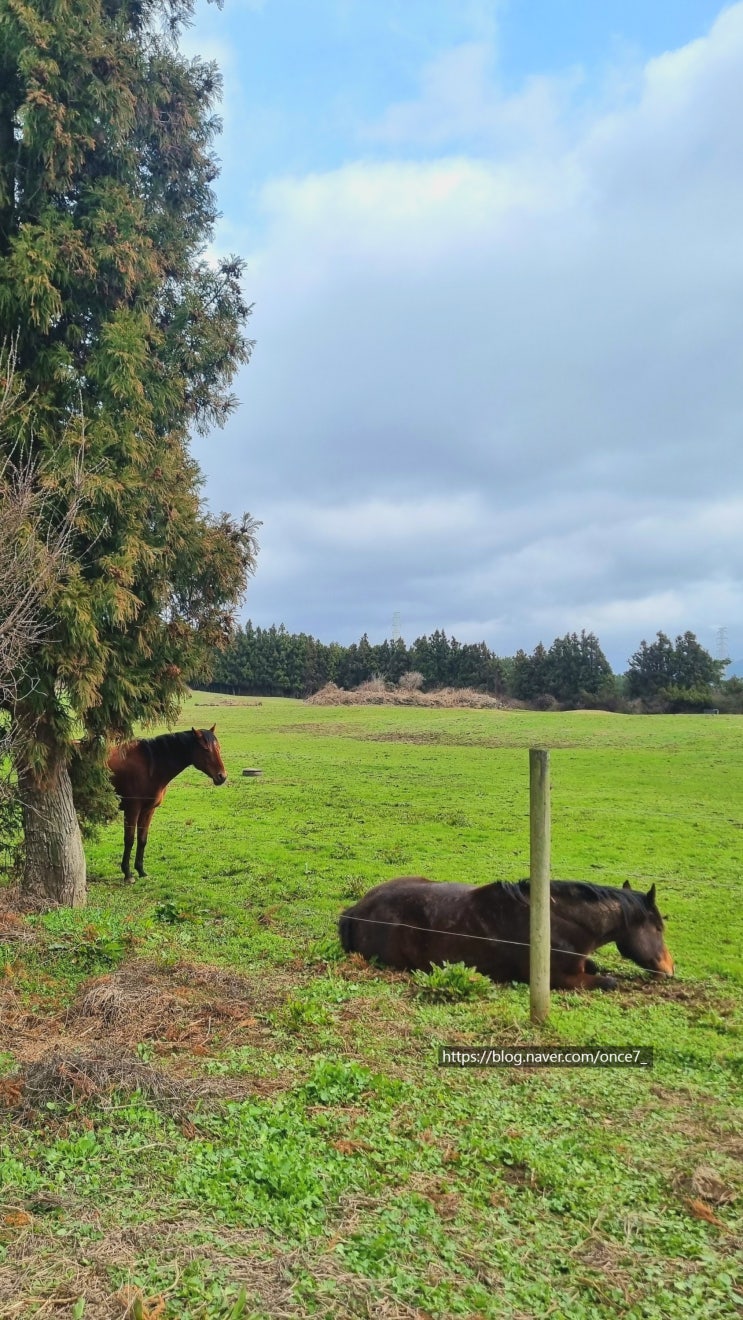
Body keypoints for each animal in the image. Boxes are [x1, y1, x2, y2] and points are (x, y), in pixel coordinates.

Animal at [106, 728, 225, 881]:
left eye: (218, 747)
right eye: (205, 749)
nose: (222, 776)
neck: (149, 765)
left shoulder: (148, 810)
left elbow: (142, 839)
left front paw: (141, 870)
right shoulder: (132, 810)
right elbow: (129, 840)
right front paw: (127, 873)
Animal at [340, 876, 675, 992]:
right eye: (659, 928)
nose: (670, 969)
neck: (557, 921)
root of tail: (357, 909)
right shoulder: (559, 979)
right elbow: (608, 981)